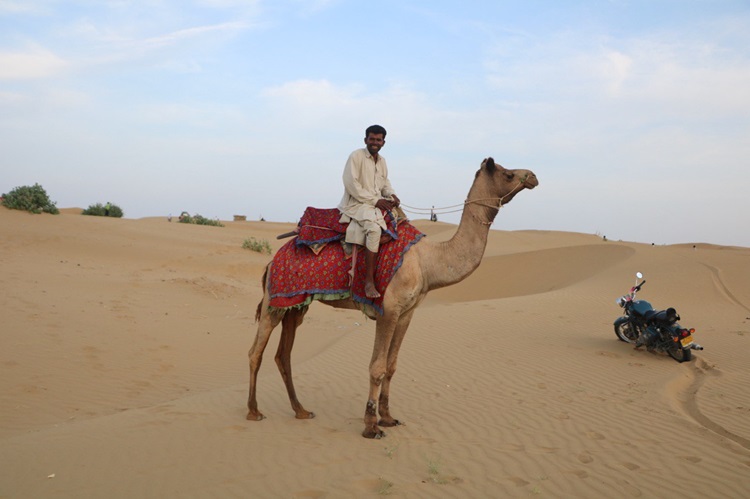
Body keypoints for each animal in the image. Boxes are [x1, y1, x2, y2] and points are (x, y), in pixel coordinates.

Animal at [248, 158, 540, 440]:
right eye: (508, 174)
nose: (534, 176)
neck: (428, 261)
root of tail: (272, 261)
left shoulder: (406, 313)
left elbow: (391, 365)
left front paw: (388, 418)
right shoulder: (387, 310)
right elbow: (376, 367)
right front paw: (371, 426)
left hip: (296, 307)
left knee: (283, 355)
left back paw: (301, 410)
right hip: (274, 302)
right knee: (256, 352)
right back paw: (254, 412)